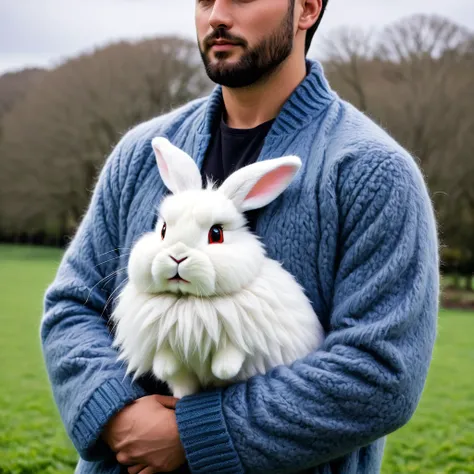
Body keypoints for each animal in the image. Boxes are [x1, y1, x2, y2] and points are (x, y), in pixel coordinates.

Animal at [111, 138, 326, 400]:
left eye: (216, 234)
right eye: (163, 230)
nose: (177, 256)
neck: (187, 302)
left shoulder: (244, 334)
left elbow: (232, 354)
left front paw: (223, 370)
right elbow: (169, 364)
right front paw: (166, 371)